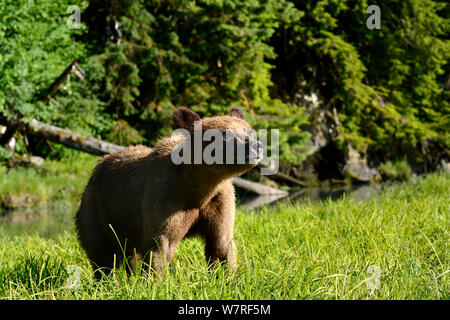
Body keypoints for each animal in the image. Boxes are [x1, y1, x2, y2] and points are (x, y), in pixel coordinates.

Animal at [75, 107, 262, 278]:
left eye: (248, 130)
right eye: (225, 134)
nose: (255, 145)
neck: (199, 187)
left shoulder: (219, 200)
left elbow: (221, 243)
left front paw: (227, 277)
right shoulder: (166, 199)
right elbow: (161, 245)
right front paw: (154, 281)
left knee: (130, 254)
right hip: (98, 211)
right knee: (103, 254)